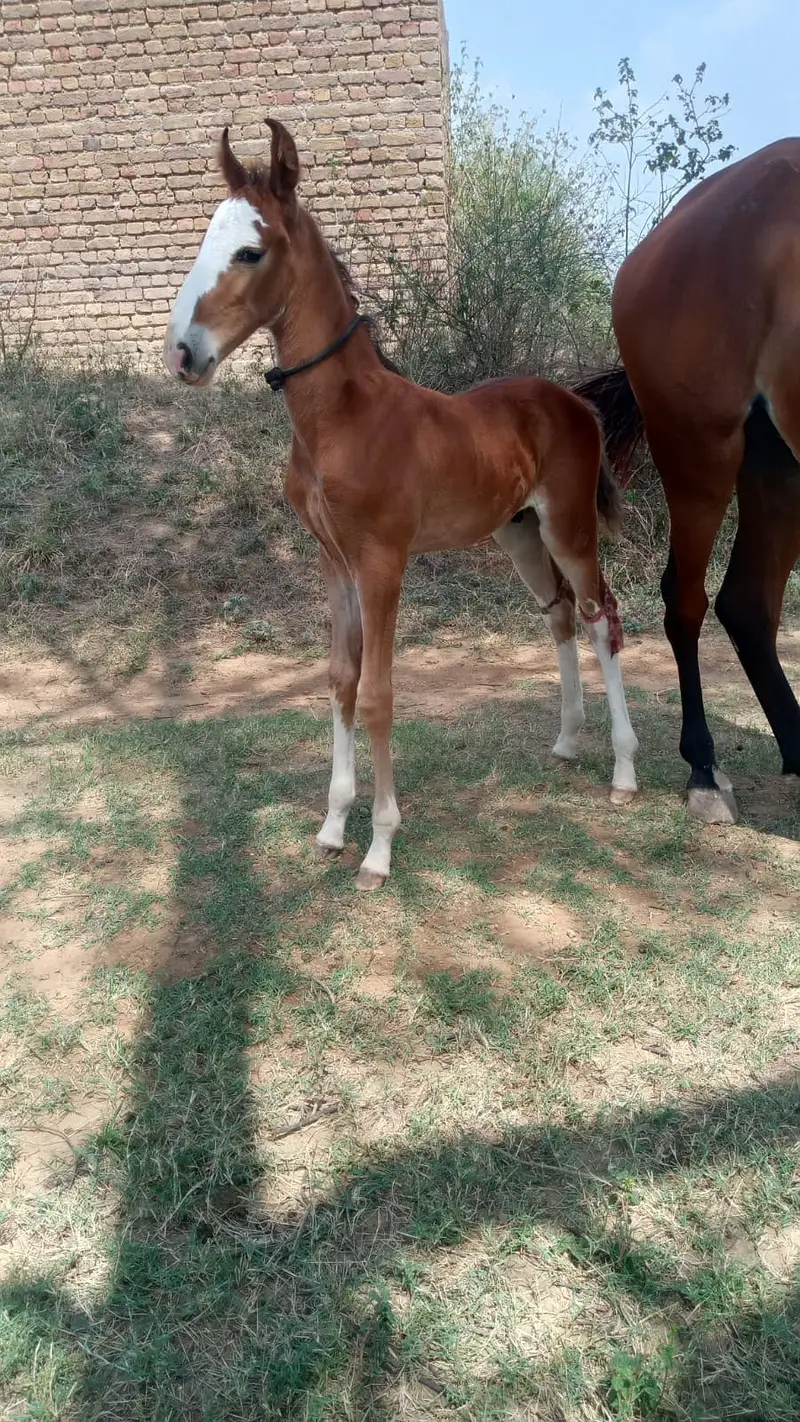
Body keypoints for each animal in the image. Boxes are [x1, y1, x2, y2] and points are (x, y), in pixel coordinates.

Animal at [162, 119, 638, 889]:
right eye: (206, 239)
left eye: (250, 251)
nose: (182, 354)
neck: (342, 419)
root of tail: (574, 401)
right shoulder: (334, 563)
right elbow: (341, 680)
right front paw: (332, 827)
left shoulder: (384, 562)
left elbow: (379, 692)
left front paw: (379, 848)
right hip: (519, 535)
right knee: (561, 616)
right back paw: (567, 742)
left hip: (569, 527)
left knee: (603, 619)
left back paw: (624, 770)